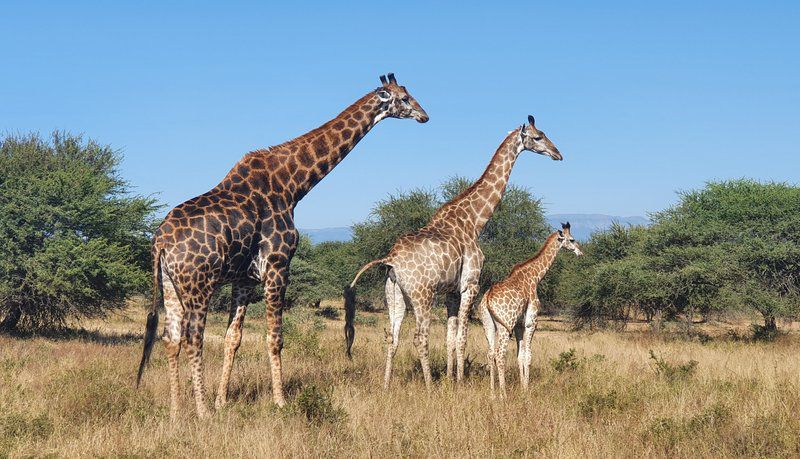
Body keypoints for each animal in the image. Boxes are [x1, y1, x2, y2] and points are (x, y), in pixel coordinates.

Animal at [138, 73, 428, 420]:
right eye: (404, 98)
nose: (425, 116)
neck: (292, 186)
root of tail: (160, 241)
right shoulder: (278, 266)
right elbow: (275, 338)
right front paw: (279, 401)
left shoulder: (244, 279)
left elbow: (233, 338)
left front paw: (223, 401)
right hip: (199, 283)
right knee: (194, 338)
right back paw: (202, 411)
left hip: (171, 284)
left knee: (171, 338)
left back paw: (176, 411)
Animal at [346, 115, 564, 388]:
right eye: (538, 137)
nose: (558, 153)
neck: (474, 220)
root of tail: (391, 258)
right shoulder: (470, 284)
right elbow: (462, 338)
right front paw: (459, 383)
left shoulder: (450, 291)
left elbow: (450, 338)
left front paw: (451, 379)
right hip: (422, 294)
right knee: (420, 337)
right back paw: (430, 387)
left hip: (394, 295)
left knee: (392, 337)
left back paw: (386, 386)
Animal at [478, 222, 584, 396]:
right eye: (572, 239)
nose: (580, 253)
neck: (535, 276)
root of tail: (487, 299)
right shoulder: (531, 322)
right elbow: (528, 356)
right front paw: (526, 390)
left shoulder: (519, 325)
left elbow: (520, 356)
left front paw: (522, 387)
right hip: (504, 325)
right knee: (500, 355)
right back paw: (503, 394)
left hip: (488, 324)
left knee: (490, 353)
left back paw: (492, 393)